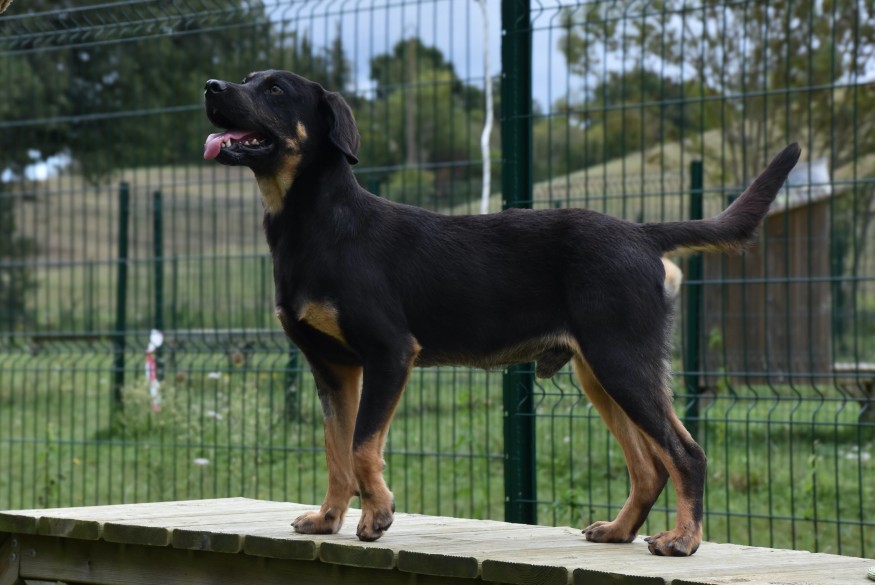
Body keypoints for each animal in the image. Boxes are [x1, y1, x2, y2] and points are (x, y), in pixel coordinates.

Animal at [203, 70, 800, 556]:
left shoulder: (389, 353)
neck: (317, 223)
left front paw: (378, 516)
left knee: (686, 453)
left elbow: (362, 446)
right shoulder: (332, 367)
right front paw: (329, 519)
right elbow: (335, 448)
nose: (211, 88)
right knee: (649, 466)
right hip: (599, 372)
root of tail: (642, 232)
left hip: (622, 362)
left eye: (275, 89)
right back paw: (619, 531)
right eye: (248, 79)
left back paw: (684, 540)